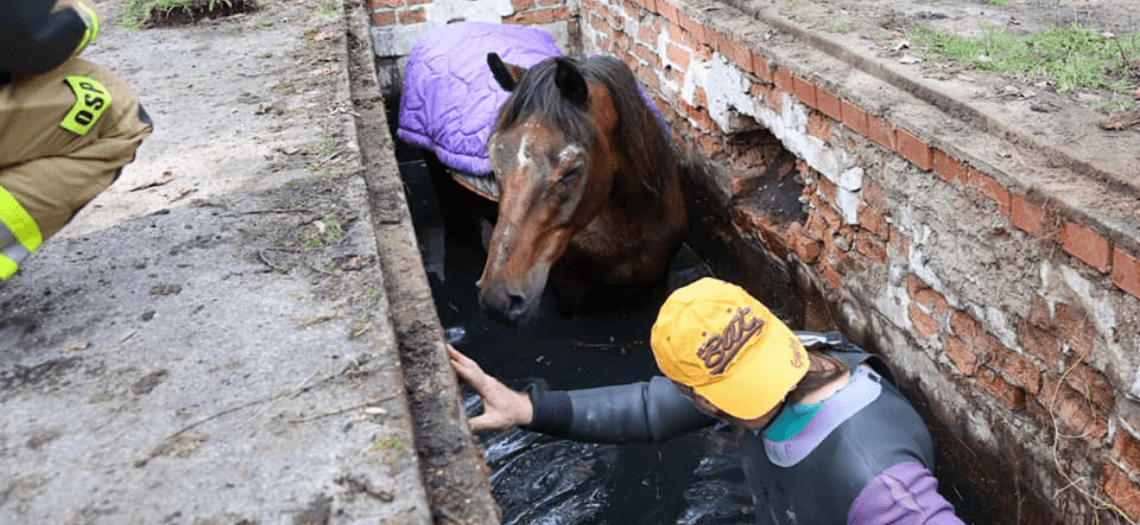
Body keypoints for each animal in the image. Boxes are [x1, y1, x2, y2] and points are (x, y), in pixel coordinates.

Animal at [478, 53, 684, 323]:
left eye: (571, 171)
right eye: (495, 158)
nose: (496, 299)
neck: (631, 228)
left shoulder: (658, 284)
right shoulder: (571, 296)